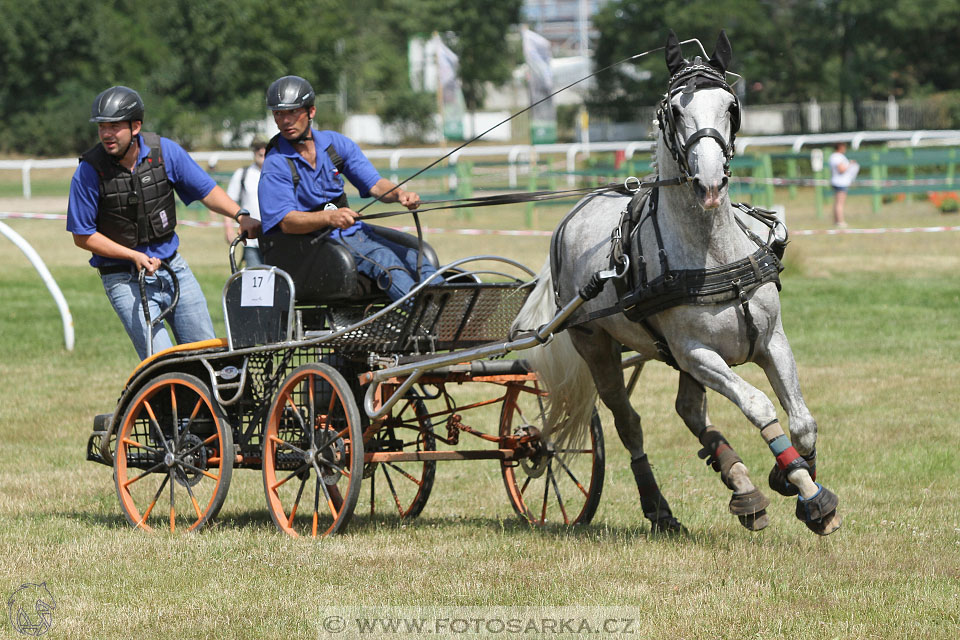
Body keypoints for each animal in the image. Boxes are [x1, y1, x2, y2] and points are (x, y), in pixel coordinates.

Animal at [510, 32, 840, 536]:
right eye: (675, 111)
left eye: (730, 105)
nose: (709, 181)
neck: (714, 253)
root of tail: (570, 218)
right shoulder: (696, 353)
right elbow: (759, 405)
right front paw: (811, 495)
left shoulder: (771, 340)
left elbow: (801, 421)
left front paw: (790, 478)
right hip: (597, 345)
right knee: (629, 422)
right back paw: (660, 507)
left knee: (690, 410)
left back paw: (741, 484)